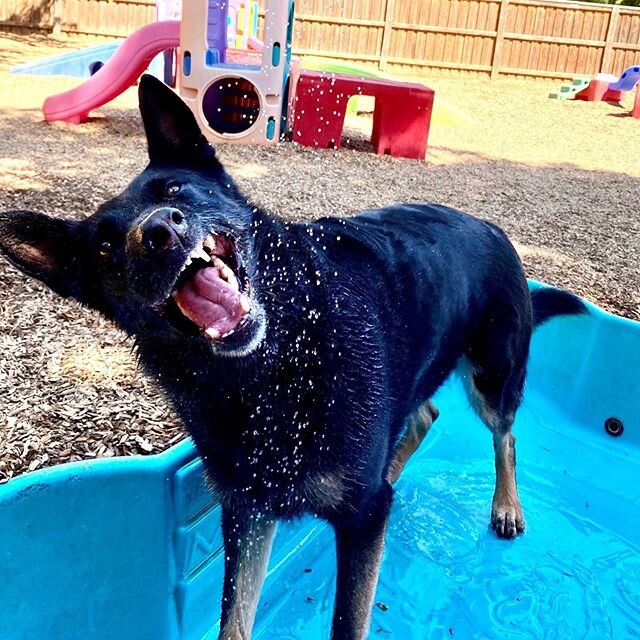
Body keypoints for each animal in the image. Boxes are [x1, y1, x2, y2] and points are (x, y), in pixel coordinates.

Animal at [0, 76, 584, 640]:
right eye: (104, 248)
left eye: (174, 191)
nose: (160, 232)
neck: (268, 374)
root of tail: (492, 227)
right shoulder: (249, 511)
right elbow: (234, 621)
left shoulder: (357, 522)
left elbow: (349, 622)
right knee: (423, 416)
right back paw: (396, 466)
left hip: (491, 377)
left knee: (505, 436)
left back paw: (506, 505)